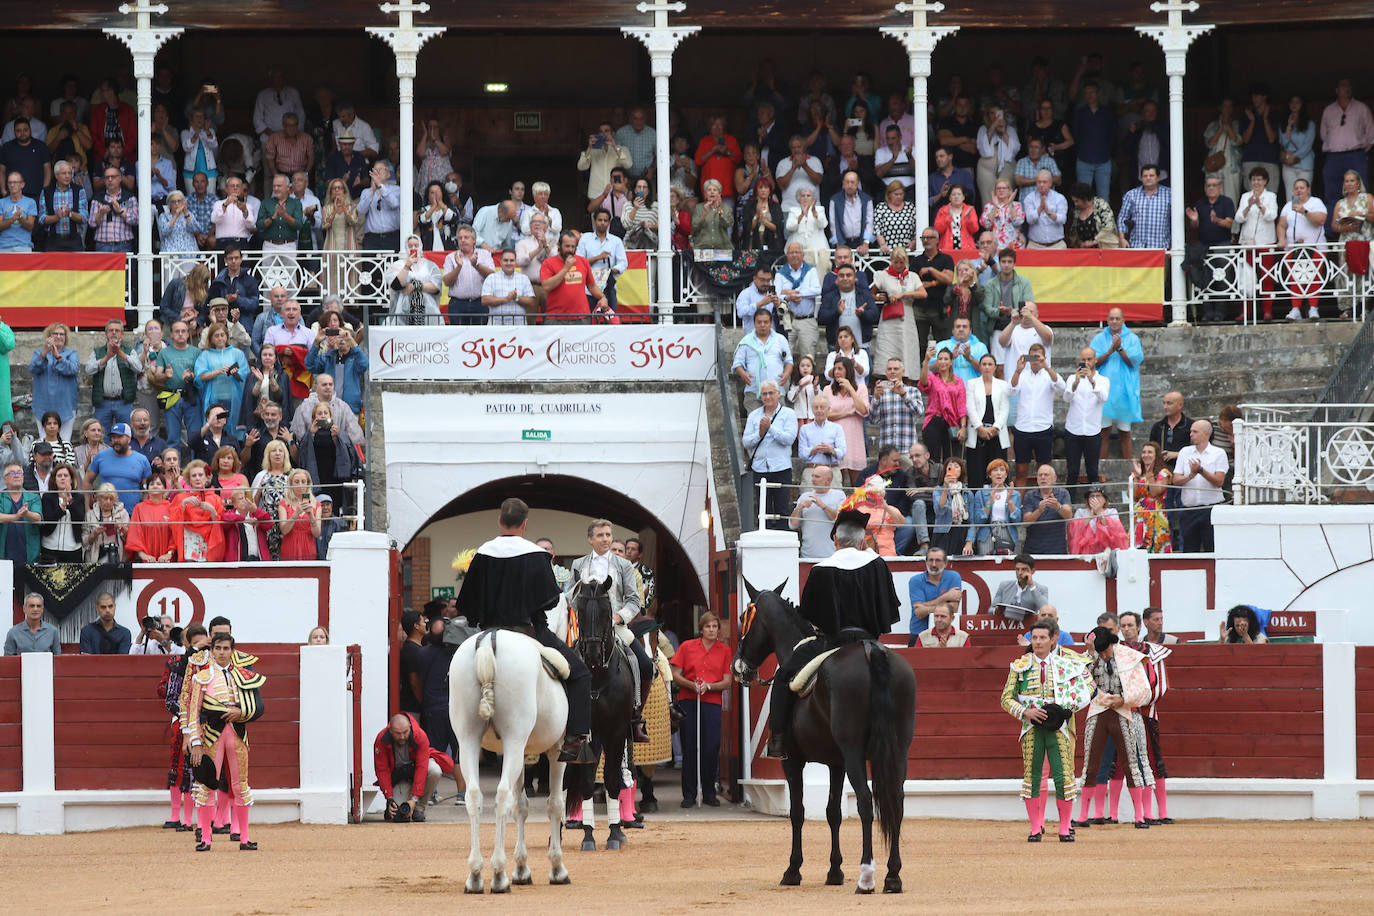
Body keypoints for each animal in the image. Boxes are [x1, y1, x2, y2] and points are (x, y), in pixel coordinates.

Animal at [450, 620, 568, 889]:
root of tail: (486, 641)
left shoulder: (521, 755)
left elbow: (521, 806)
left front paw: (522, 868)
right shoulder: (557, 751)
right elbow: (555, 805)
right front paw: (557, 868)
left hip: (469, 740)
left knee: (474, 795)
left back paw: (475, 875)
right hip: (514, 739)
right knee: (502, 795)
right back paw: (498, 874)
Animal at [560, 579, 634, 851]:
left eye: (605, 612)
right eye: (579, 612)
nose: (592, 653)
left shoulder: (617, 732)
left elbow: (612, 779)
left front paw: (613, 834)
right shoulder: (586, 734)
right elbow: (586, 783)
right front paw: (588, 835)